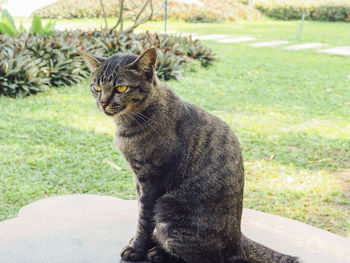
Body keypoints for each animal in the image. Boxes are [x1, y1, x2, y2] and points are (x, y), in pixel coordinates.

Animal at [78, 48, 302, 263]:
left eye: (121, 88)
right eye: (96, 87)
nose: (102, 103)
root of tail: (237, 239)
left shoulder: (151, 181)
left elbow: (143, 220)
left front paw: (136, 249)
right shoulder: (139, 180)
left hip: (168, 215)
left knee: (209, 257)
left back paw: (159, 253)